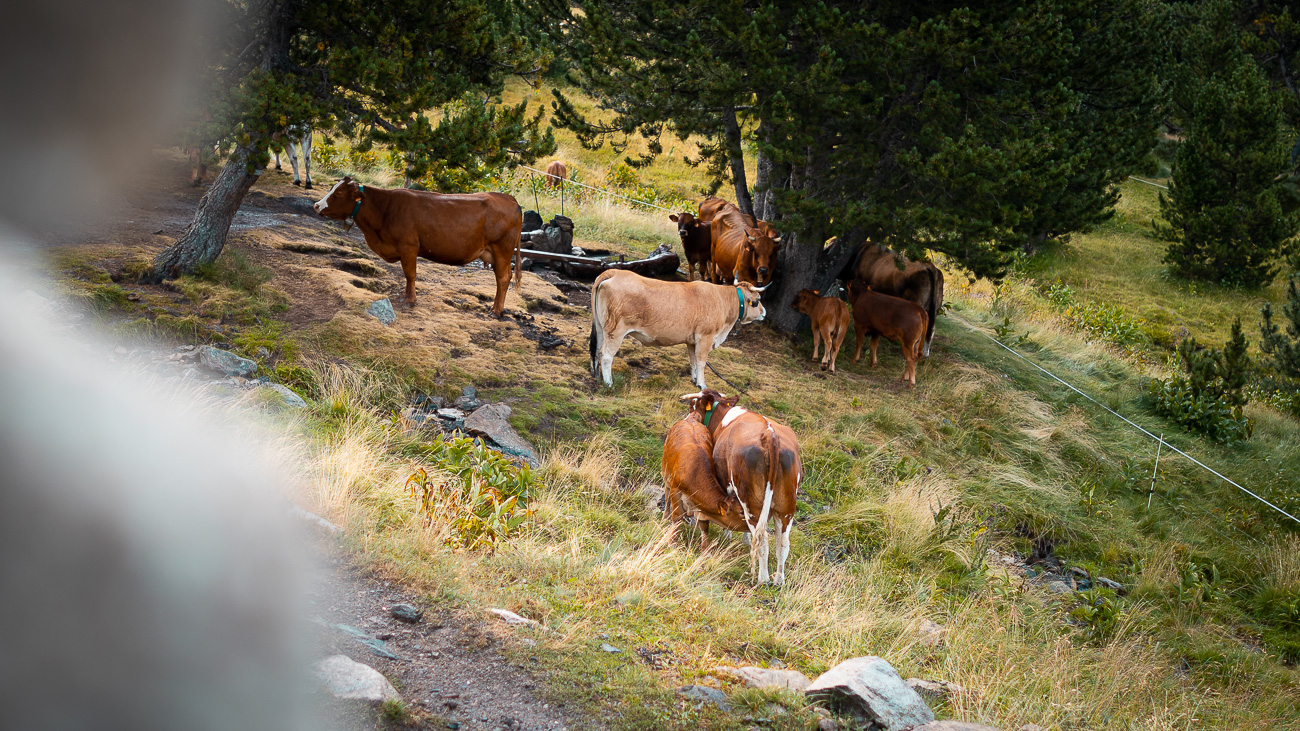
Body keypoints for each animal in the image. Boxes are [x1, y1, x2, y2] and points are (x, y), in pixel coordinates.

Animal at [312, 176, 520, 316]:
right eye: (331, 188)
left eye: (338, 193)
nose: (316, 206)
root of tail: (509, 198)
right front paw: (406, 296)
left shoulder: (408, 246)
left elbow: (410, 274)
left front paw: (410, 299)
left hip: (502, 250)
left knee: (503, 278)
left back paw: (496, 310)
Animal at [592, 267, 764, 390]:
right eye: (757, 300)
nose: (764, 312)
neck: (722, 300)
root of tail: (614, 272)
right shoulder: (705, 337)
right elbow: (701, 361)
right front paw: (702, 384)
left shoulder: (692, 340)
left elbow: (692, 360)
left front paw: (694, 379)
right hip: (616, 331)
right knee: (606, 355)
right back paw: (609, 384)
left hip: (600, 327)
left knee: (596, 350)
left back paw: (596, 376)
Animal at [665, 403, 748, 546]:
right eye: (741, 512)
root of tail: (691, 419)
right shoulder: (675, 490)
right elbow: (677, 517)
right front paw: (672, 542)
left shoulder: (701, 508)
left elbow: (704, 527)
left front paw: (706, 549)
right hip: (666, 476)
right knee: (665, 497)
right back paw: (664, 517)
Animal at [681, 390, 800, 582]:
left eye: (692, 405)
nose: (686, 420)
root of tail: (770, 435)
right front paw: (744, 538)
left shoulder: (724, 482)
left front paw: (727, 535)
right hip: (786, 506)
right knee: (782, 542)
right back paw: (779, 580)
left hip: (751, 500)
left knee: (762, 538)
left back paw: (763, 579)